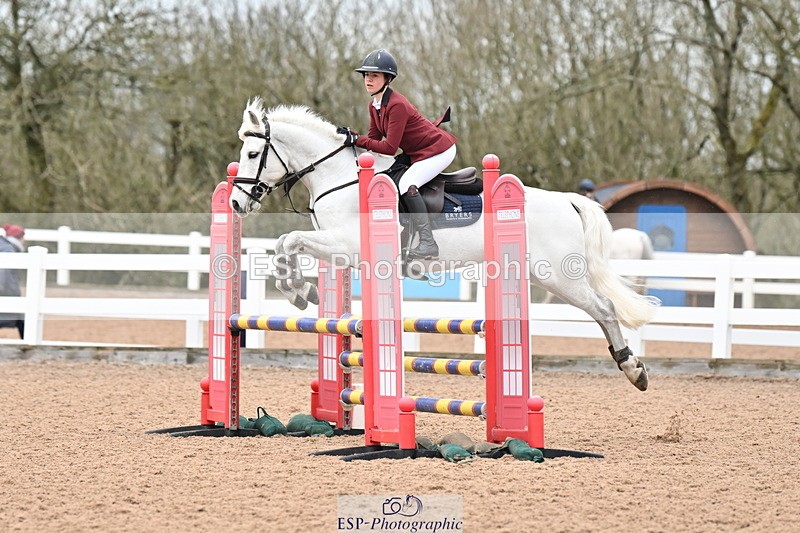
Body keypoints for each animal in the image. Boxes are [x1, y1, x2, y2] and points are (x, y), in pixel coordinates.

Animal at [229, 98, 659, 391]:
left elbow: (290, 240)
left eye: (252, 153)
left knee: (604, 308)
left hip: (558, 276)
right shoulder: (340, 250)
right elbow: (287, 242)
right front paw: (304, 291)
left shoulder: (347, 245)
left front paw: (299, 291)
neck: (341, 178)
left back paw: (633, 369)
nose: (235, 203)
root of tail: (567, 200)